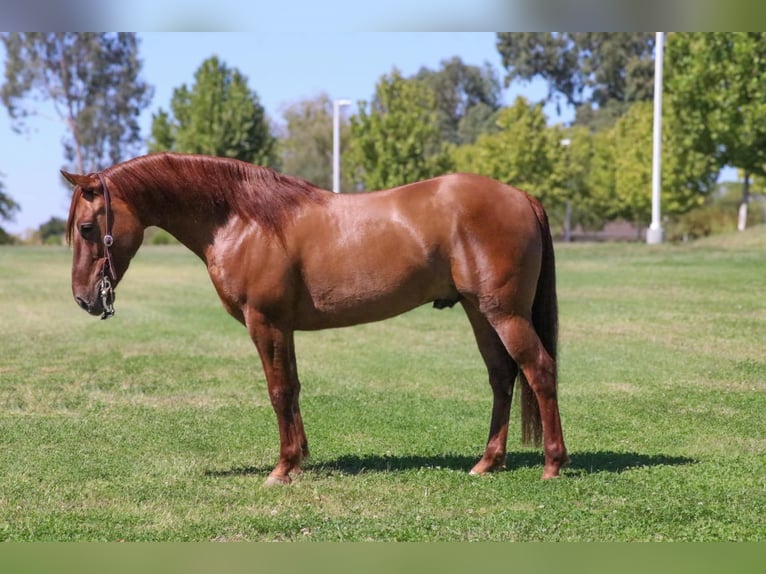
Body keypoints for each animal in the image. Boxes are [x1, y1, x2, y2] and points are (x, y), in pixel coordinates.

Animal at [63, 152, 569, 485]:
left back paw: (552, 464)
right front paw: (299, 459)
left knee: (539, 370)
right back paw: (488, 462)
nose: (85, 299)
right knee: (502, 377)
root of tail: (523, 197)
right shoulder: (282, 328)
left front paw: (282, 469)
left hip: (503, 313)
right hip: (480, 312)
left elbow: (279, 391)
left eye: (87, 228)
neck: (243, 219)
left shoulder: (265, 323)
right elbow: (293, 388)